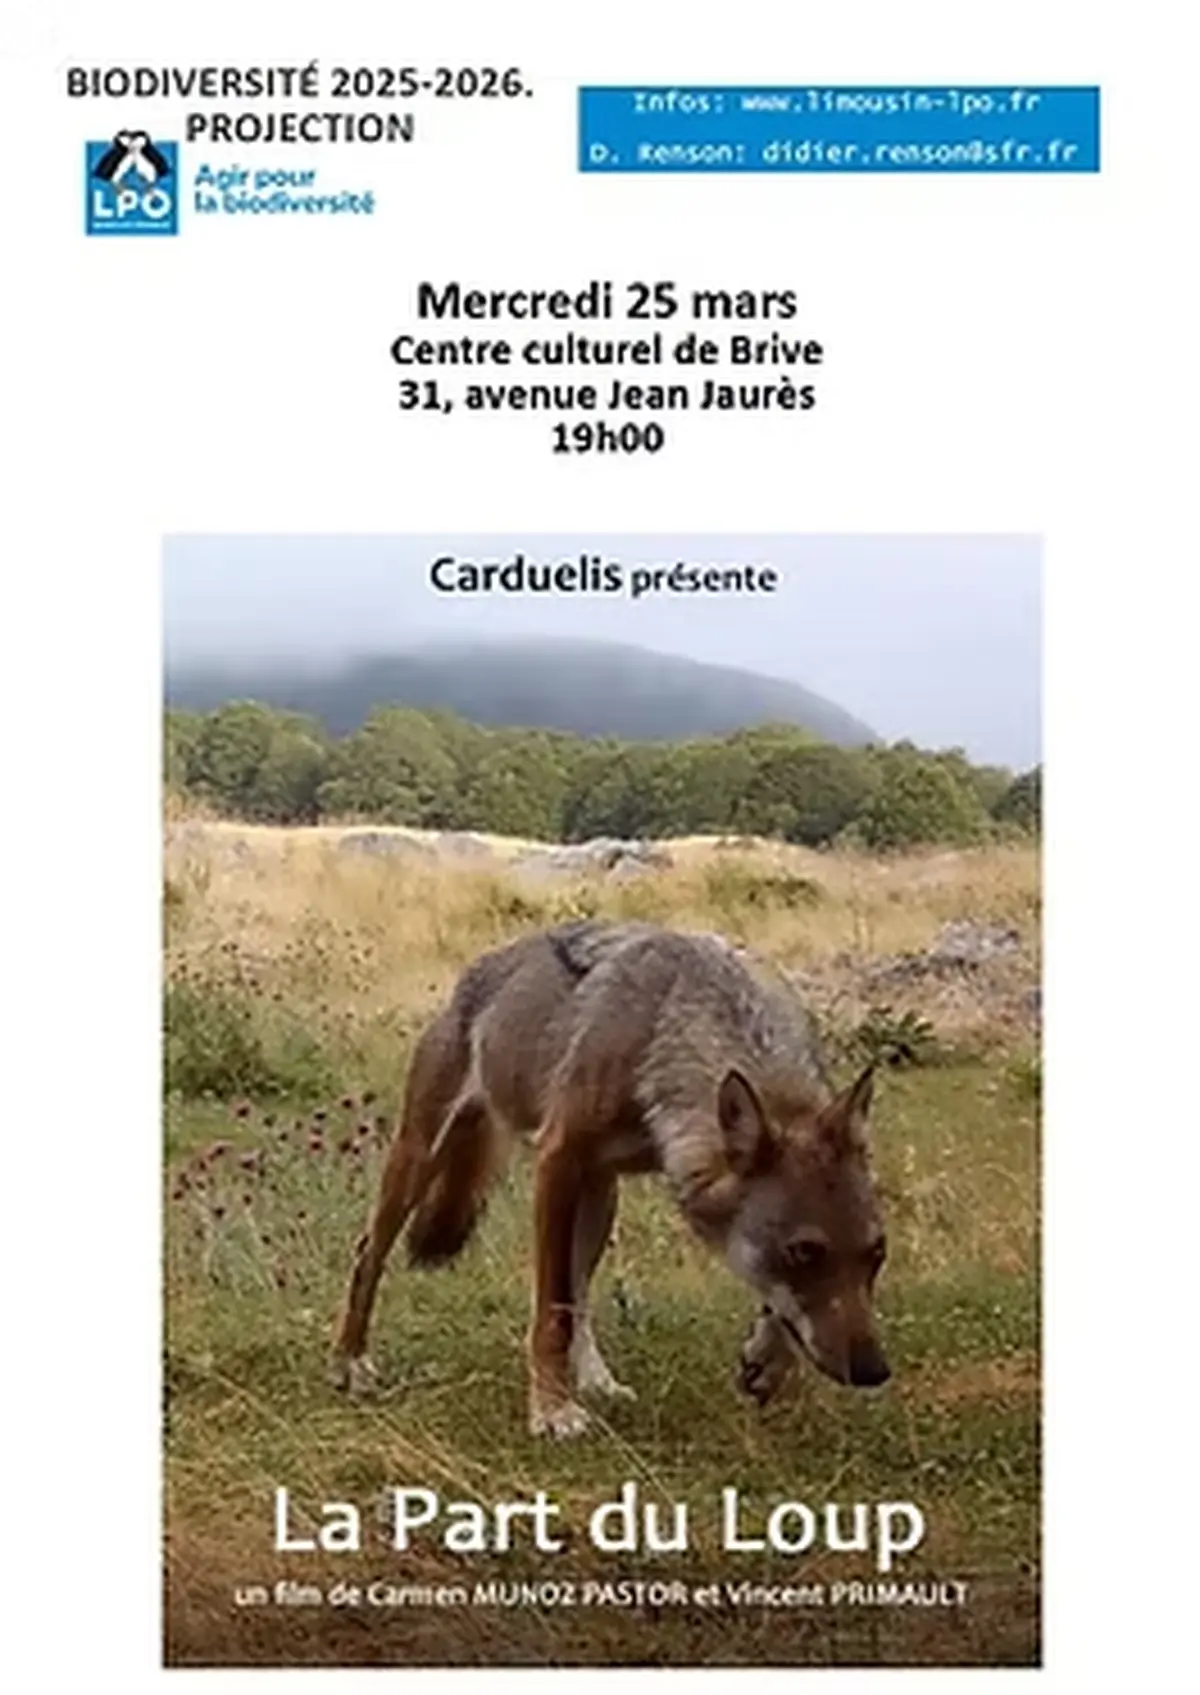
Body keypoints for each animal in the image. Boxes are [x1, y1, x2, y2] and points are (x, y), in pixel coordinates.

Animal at [331, 921, 890, 1437]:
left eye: (876, 1254)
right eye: (804, 1252)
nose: (874, 1371)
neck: (665, 1024)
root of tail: (480, 969)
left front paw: (767, 1362)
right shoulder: (557, 1160)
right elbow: (551, 1312)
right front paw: (553, 1412)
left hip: (601, 1197)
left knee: (581, 1295)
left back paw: (600, 1383)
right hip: (421, 1157)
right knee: (367, 1252)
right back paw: (349, 1363)